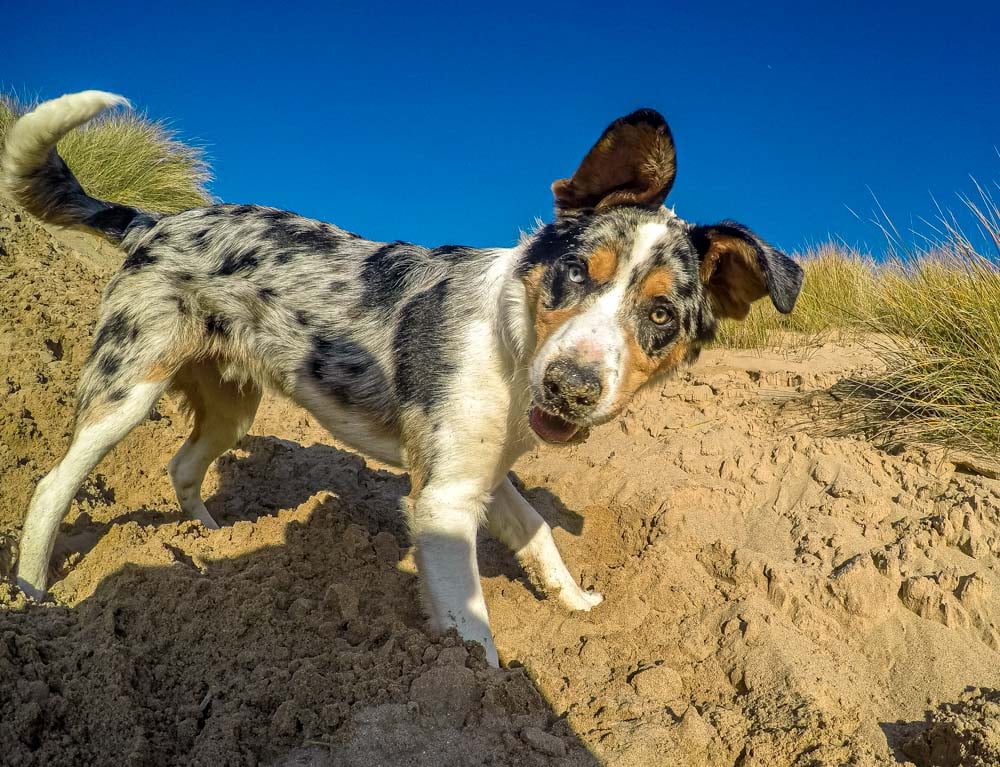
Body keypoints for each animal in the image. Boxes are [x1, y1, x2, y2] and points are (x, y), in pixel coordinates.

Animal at [0, 90, 804, 664]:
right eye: (577, 272)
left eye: (660, 314)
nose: (569, 387)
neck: (509, 344)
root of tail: (154, 222)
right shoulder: (444, 503)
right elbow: (471, 628)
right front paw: (483, 693)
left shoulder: (485, 475)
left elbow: (540, 532)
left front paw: (574, 600)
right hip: (127, 388)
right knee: (52, 485)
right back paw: (35, 593)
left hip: (232, 406)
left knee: (183, 464)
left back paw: (216, 542)